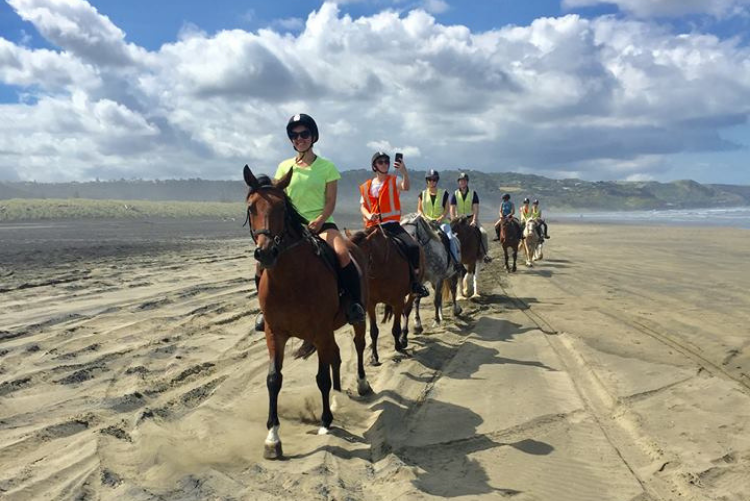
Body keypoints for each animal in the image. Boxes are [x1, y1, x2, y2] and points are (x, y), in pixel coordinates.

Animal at [244, 166, 374, 458]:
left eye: (282, 207)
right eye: (251, 207)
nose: (265, 253)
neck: (290, 280)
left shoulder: (320, 330)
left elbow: (321, 378)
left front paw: (326, 421)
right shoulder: (275, 332)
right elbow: (273, 379)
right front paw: (272, 438)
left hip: (354, 320)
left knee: (359, 344)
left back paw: (361, 385)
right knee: (336, 355)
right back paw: (339, 393)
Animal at [348, 227, 424, 364]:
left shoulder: (397, 301)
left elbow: (396, 328)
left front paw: (398, 346)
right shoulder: (370, 304)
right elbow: (374, 331)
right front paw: (374, 357)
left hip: (412, 291)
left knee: (407, 311)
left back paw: (404, 338)